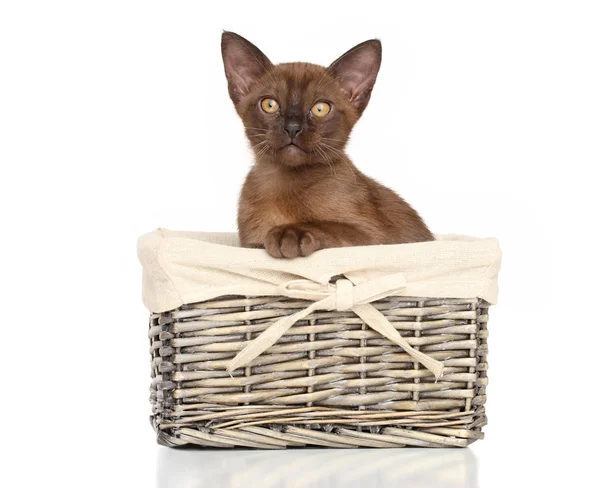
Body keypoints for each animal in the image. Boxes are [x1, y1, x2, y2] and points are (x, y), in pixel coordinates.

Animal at [220, 31, 432, 260]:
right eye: (270, 105)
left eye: (320, 108)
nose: (292, 127)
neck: (284, 184)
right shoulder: (249, 245)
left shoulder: (375, 237)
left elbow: (327, 226)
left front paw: (288, 234)